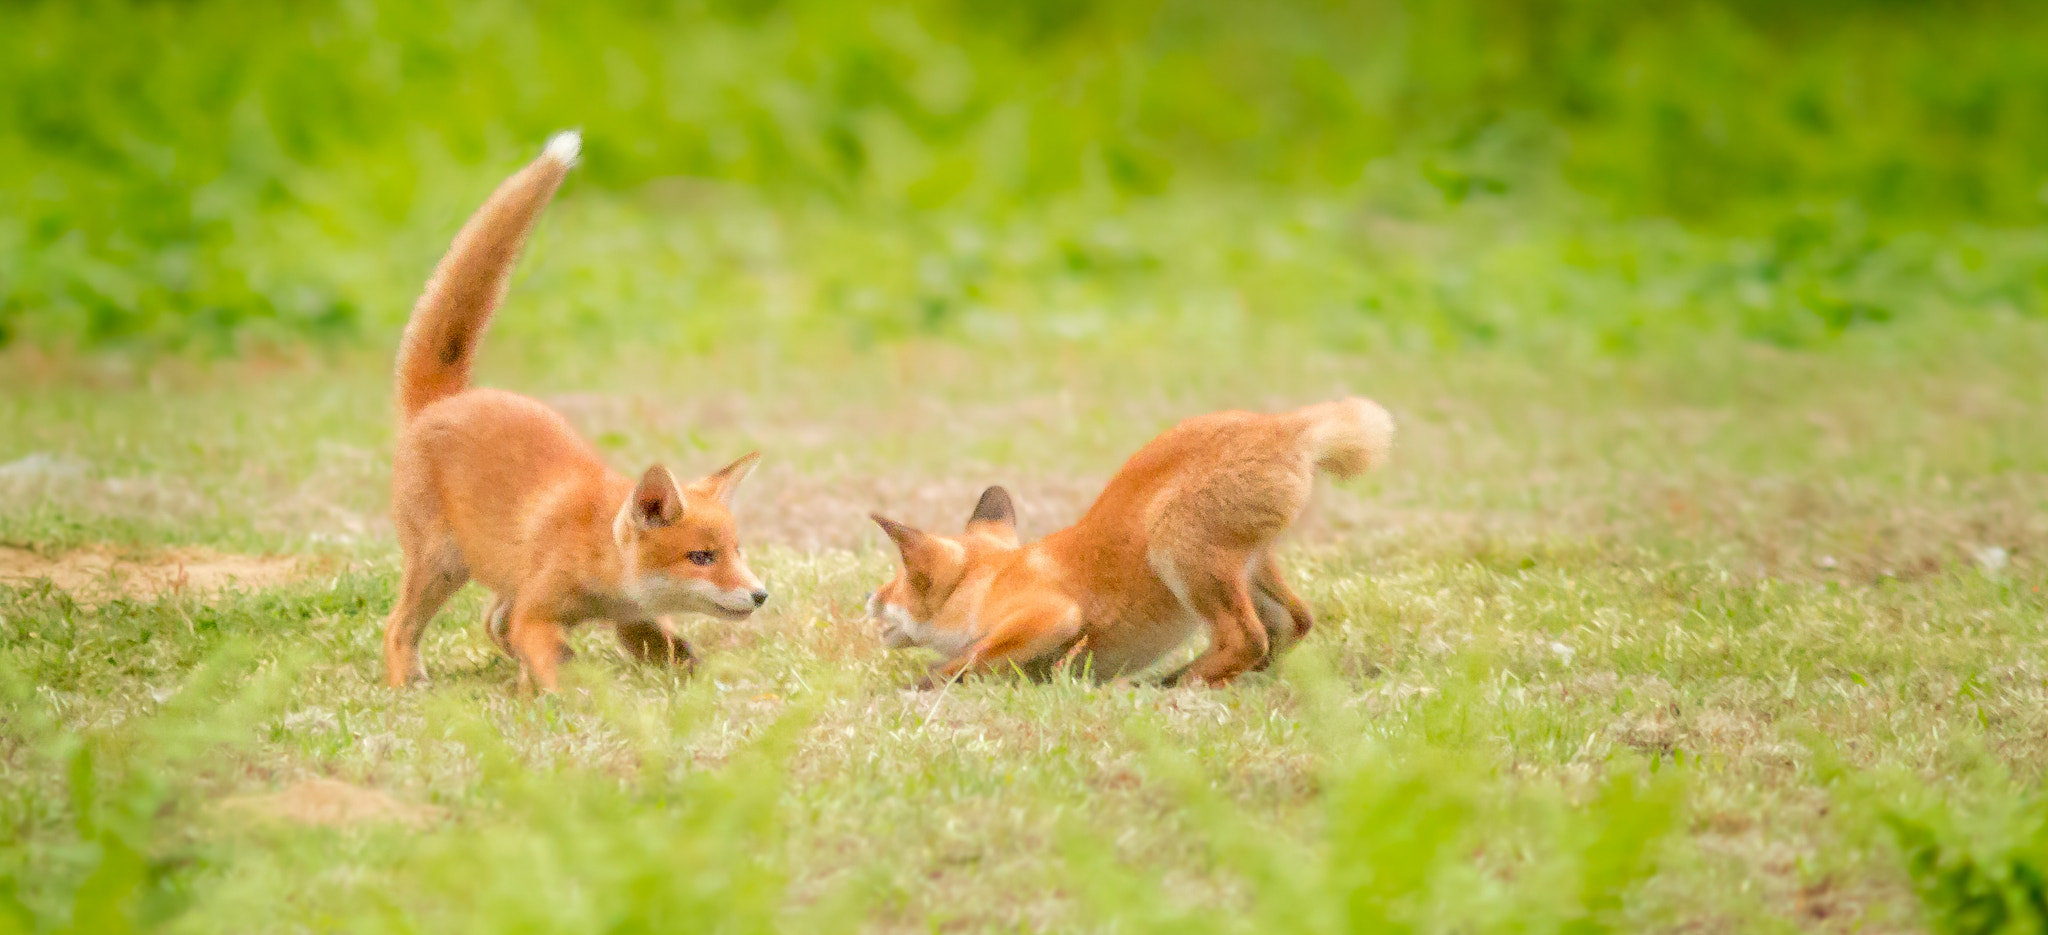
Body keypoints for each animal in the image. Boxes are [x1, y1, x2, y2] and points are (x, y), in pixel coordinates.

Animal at [384, 130, 769, 692]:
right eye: (702, 557)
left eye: (738, 551)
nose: (762, 594)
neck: (599, 558)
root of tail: (447, 398)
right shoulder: (536, 612)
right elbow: (554, 658)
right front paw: (573, 696)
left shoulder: (631, 618)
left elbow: (667, 647)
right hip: (441, 565)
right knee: (399, 626)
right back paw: (408, 683)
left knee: (490, 622)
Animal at [865, 398, 1393, 688]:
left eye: (898, 581)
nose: (867, 599)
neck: (990, 580)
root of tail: (1282, 425)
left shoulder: (1053, 615)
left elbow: (971, 658)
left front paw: (923, 686)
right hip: (1251, 567)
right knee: (1293, 624)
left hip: (1179, 551)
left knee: (1248, 637)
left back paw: (1169, 687)